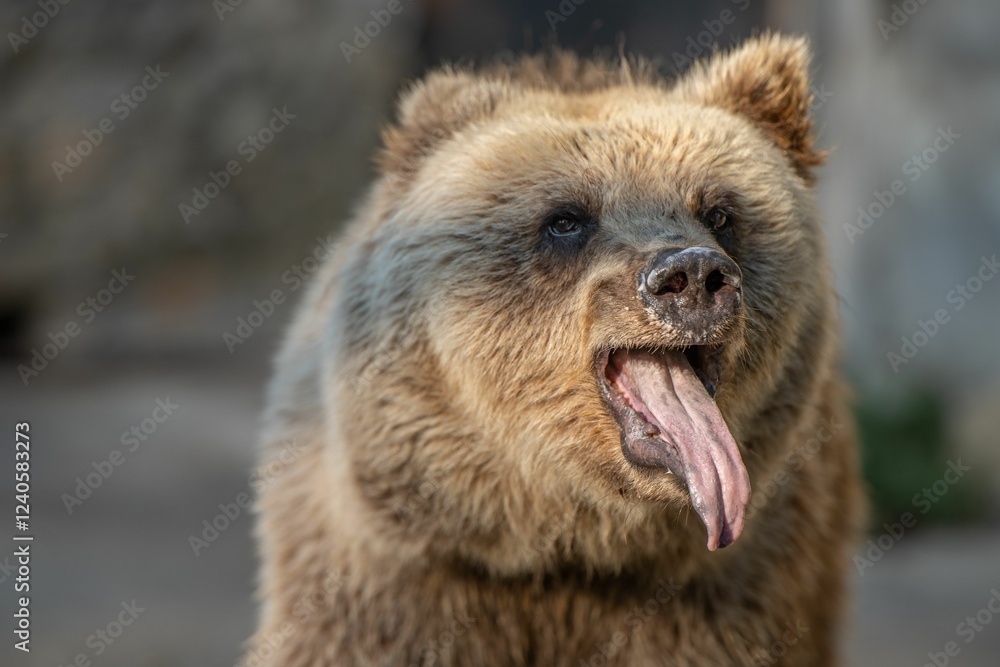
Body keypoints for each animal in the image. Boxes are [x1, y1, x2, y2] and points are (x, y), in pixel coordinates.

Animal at [246, 33, 863, 667]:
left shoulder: (737, 588)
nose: (692, 275)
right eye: (565, 220)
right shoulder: (399, 575)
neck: (570, 543)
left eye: (719, 211)